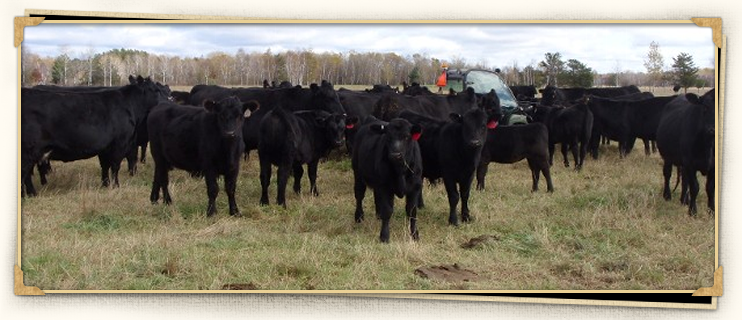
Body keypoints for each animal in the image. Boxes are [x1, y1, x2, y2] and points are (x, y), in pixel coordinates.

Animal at [20, 75, 169, 195]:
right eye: (156, 90)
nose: (169, 102)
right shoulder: (120, 144)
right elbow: (115, 166)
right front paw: (116, 186)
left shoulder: (105, 147)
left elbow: (105, 166)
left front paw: (105, 185)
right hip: (29, 150)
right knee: (25, 173)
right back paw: (30, 194)